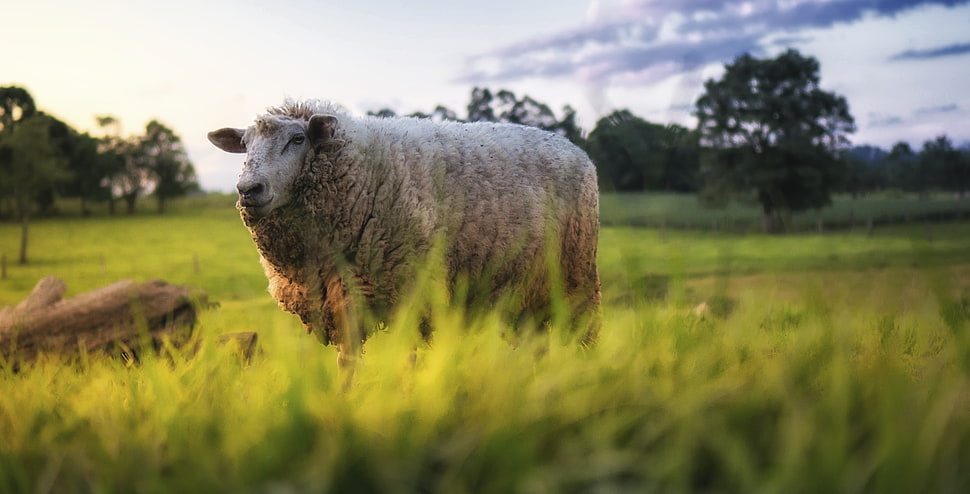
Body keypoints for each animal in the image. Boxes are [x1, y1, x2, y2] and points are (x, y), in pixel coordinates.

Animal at [208, 100, 600, 365]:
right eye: (244, 145)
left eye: (298, 139)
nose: (248, 189)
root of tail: (575, 148)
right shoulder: (342, 297)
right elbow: (348, 362)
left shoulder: (410, 288)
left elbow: (407, 358)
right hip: (524, 288)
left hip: (576, 274)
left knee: (584, 334)